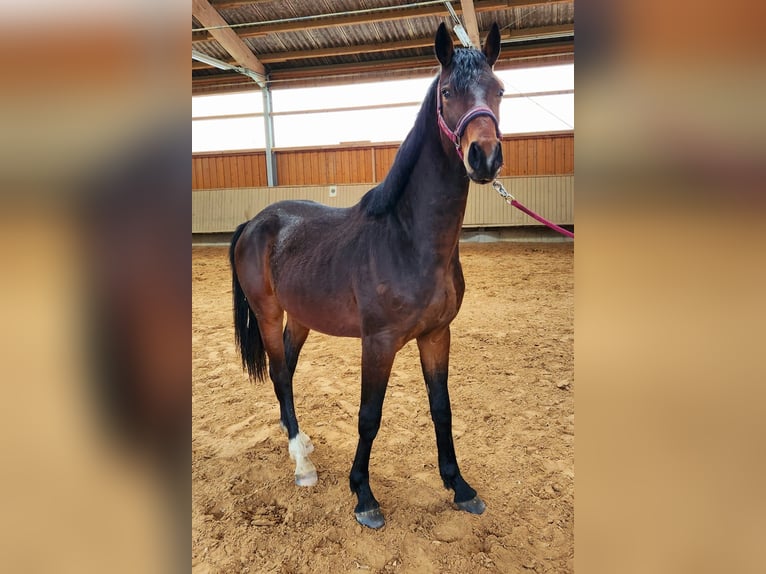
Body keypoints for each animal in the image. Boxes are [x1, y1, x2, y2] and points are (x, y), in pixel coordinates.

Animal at [229, 22, 504, 529]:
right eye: (448, 91)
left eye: (498, 90)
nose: (484, 157)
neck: (408, 238)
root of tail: (255, 222)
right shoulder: (378, 342)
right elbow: (369, 415)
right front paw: (363, 494)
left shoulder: (436, 335)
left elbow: (442, 409)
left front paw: (459, 486)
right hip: (268, 313)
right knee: (278, 372)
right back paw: (302, 463)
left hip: (300, 318)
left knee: (287, 375)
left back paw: (298, 440)